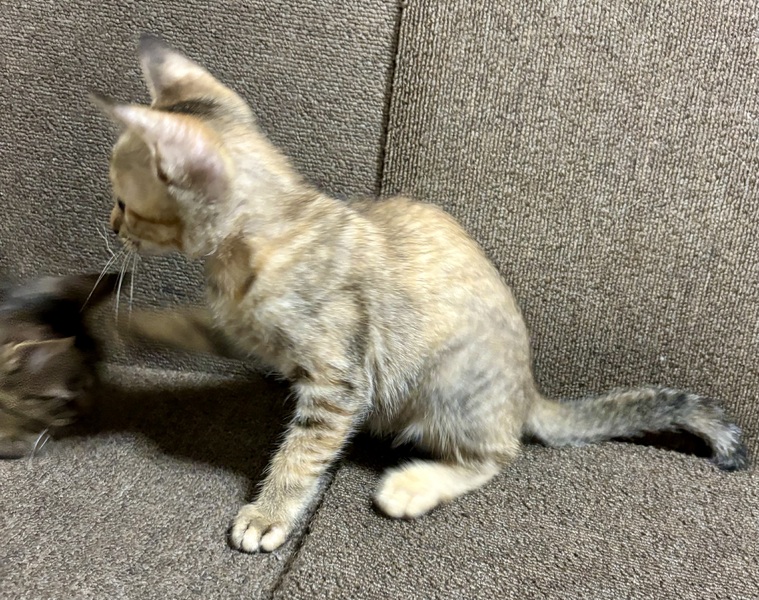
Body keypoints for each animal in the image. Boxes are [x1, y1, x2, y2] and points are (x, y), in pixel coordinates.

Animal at [90, 34, 748, 554]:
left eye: (125, 201)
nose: (112, 226)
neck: (262, 245)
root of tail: (527, 391)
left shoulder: (338, 383)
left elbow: (302, 452)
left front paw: (269, 513)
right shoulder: (236, 327)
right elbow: (187, 322)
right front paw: (119, 324)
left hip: (445, 384)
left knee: (500, 454)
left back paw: (415, 485)